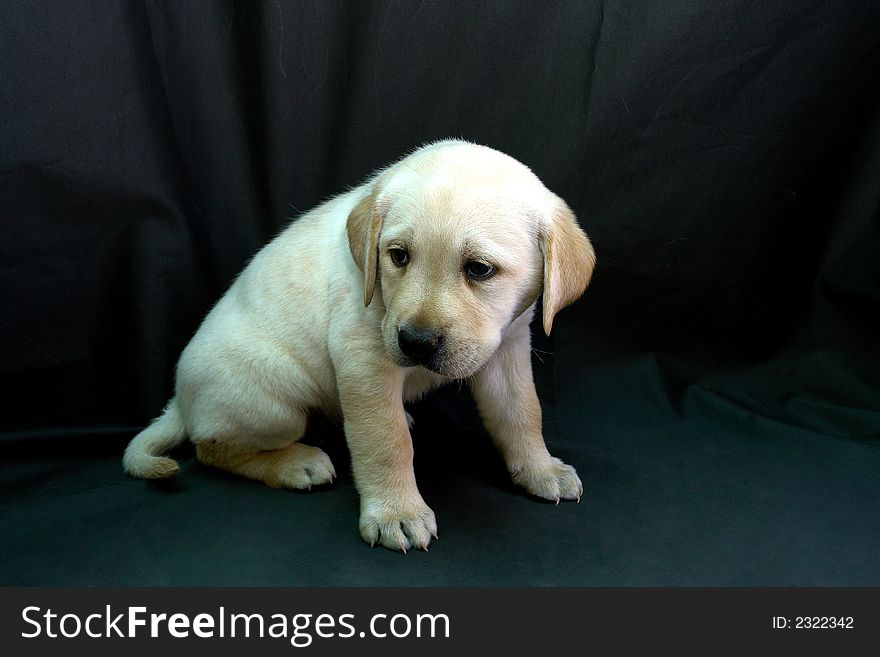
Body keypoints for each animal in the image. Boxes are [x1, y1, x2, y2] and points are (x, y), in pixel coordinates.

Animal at [124, 141, 600, 552]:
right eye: (399, 256)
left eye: (480, 269)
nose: (415, 342)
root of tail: (180, 402)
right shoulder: (364, 362)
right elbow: (384, 441)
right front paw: (396, 513)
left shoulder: (508, 346)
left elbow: (523, 414)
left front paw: (540, 468)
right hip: (274, 405)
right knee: (211, 449)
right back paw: (295, 464)